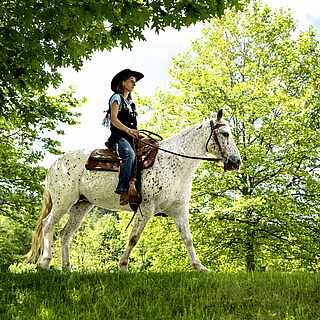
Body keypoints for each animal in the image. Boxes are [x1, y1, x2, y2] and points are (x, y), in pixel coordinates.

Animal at [25, 109, 240, 272]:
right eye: (225, 134)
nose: (236, 162)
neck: (175, 162)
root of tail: (55, 164)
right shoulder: (146, 208)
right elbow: (134, 238)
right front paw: (123, 266)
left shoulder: (179, 210)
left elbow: (188, 238)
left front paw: (199, 266)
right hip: (63, 202)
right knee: (47, 225)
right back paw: (45, 262)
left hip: (81, 206)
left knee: (65, 234)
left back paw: (67, 268)